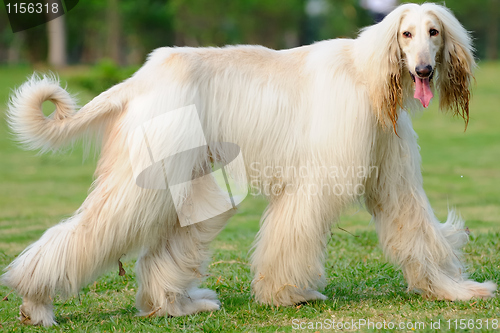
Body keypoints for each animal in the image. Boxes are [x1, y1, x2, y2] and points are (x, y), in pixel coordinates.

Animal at [2, 1, 496, 324]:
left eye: (434, 32)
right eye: (406, 34)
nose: (423, 71)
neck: (370, 76)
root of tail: (139, 80)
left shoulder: (391, 173)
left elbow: (415, 226)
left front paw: (453, 290)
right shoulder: (318, 175)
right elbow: (296, 228)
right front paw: (286, 294)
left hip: (195, 181)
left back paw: (176, 305)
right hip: (147, 174)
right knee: (92, 229)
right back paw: (36, 303)